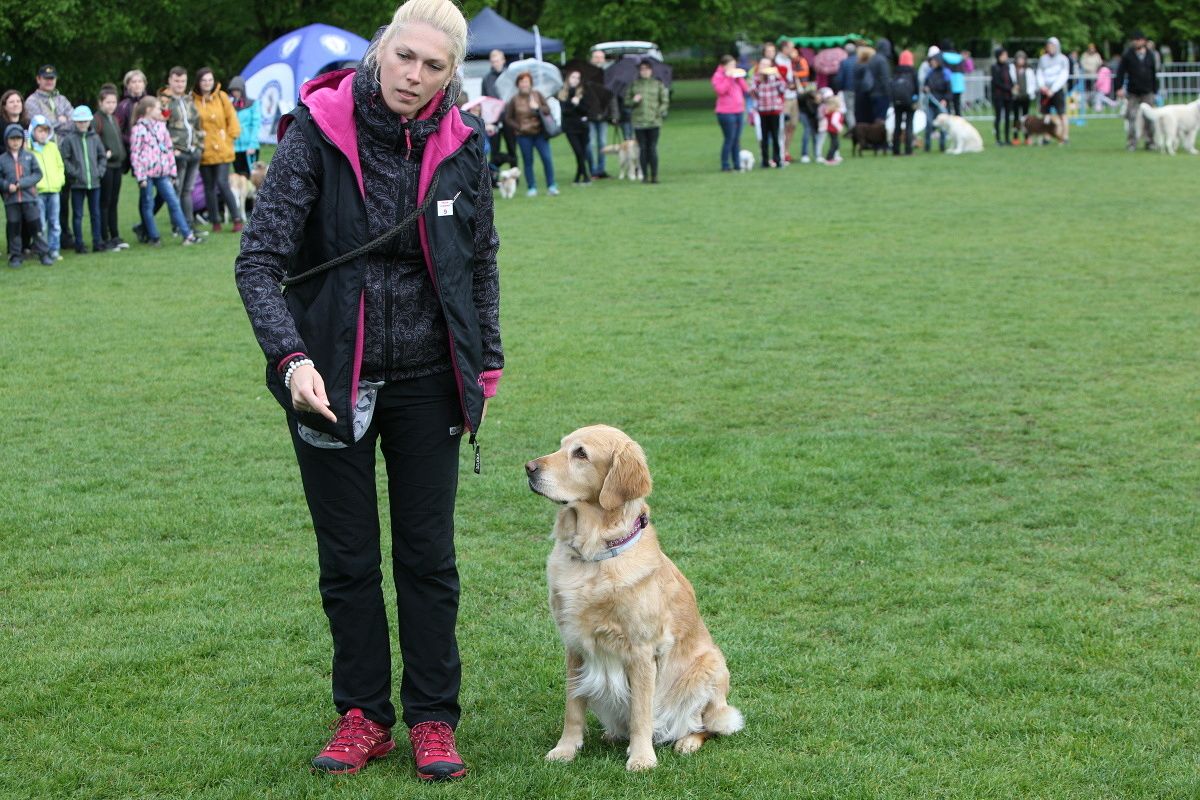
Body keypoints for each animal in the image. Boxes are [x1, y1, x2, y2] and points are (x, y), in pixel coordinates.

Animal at [527, 425, 744, 772]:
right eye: (561, 446)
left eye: (580, 453)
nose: (529, 468)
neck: (595, 557)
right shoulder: (575, 646)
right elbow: (573, 708)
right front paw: (566, 749)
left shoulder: (642, 651)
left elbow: (642, 712)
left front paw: (642, 757)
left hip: (711, 667)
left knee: (707, 724)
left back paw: (686, 741)